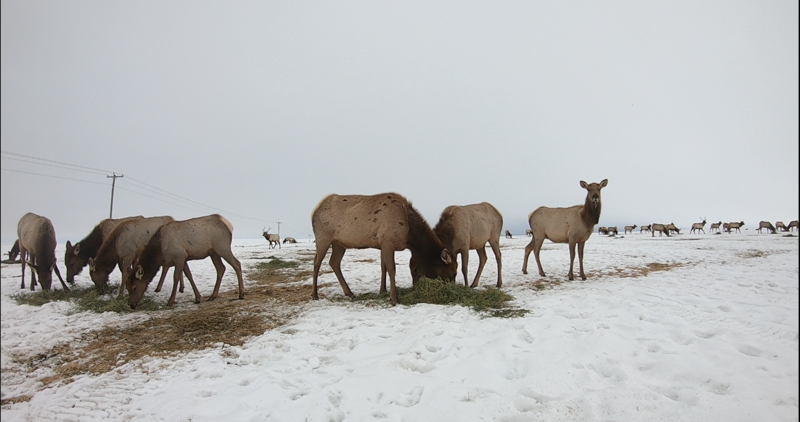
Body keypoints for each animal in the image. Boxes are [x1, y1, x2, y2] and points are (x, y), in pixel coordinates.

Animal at [310, 193, 456, 304]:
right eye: (453, 272)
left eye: (415, 269)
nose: (453, 286)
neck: (408, 232)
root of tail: (314, 212)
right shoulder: (387, 242)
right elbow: (391, 269)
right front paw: (394, 298)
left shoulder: (383, 245)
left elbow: (383, 267)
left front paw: (382, 290)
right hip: (323, 237)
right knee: (316, 262)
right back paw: (314, 295)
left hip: (339, 243)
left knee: (334, 262)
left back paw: (350, 293)